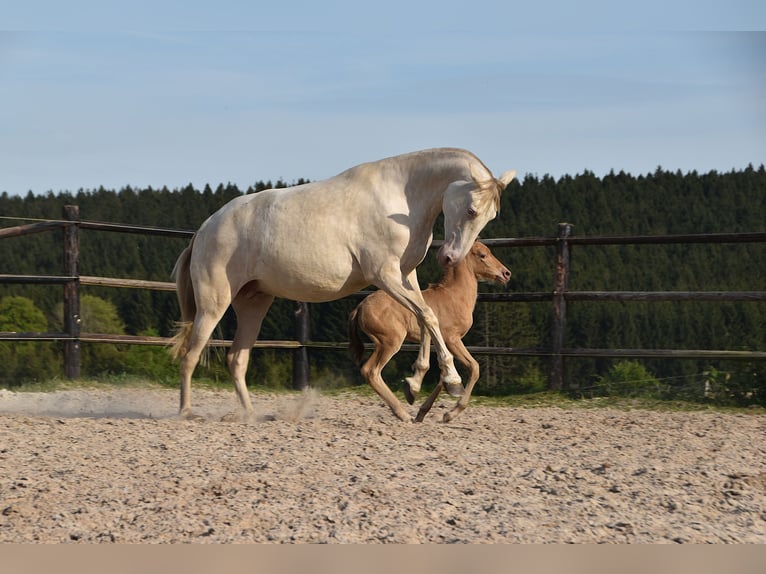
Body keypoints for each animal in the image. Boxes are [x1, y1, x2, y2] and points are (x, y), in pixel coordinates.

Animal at [348, 241, 511, 422]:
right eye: (483, 255)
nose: (506, 273)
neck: (454, 296)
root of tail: (360, 307)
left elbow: (443, 375)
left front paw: (423, 411)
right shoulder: (452, 339)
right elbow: (474, 367)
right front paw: (450, 413)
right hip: (389, 342)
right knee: (370, 371)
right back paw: (403, 413)